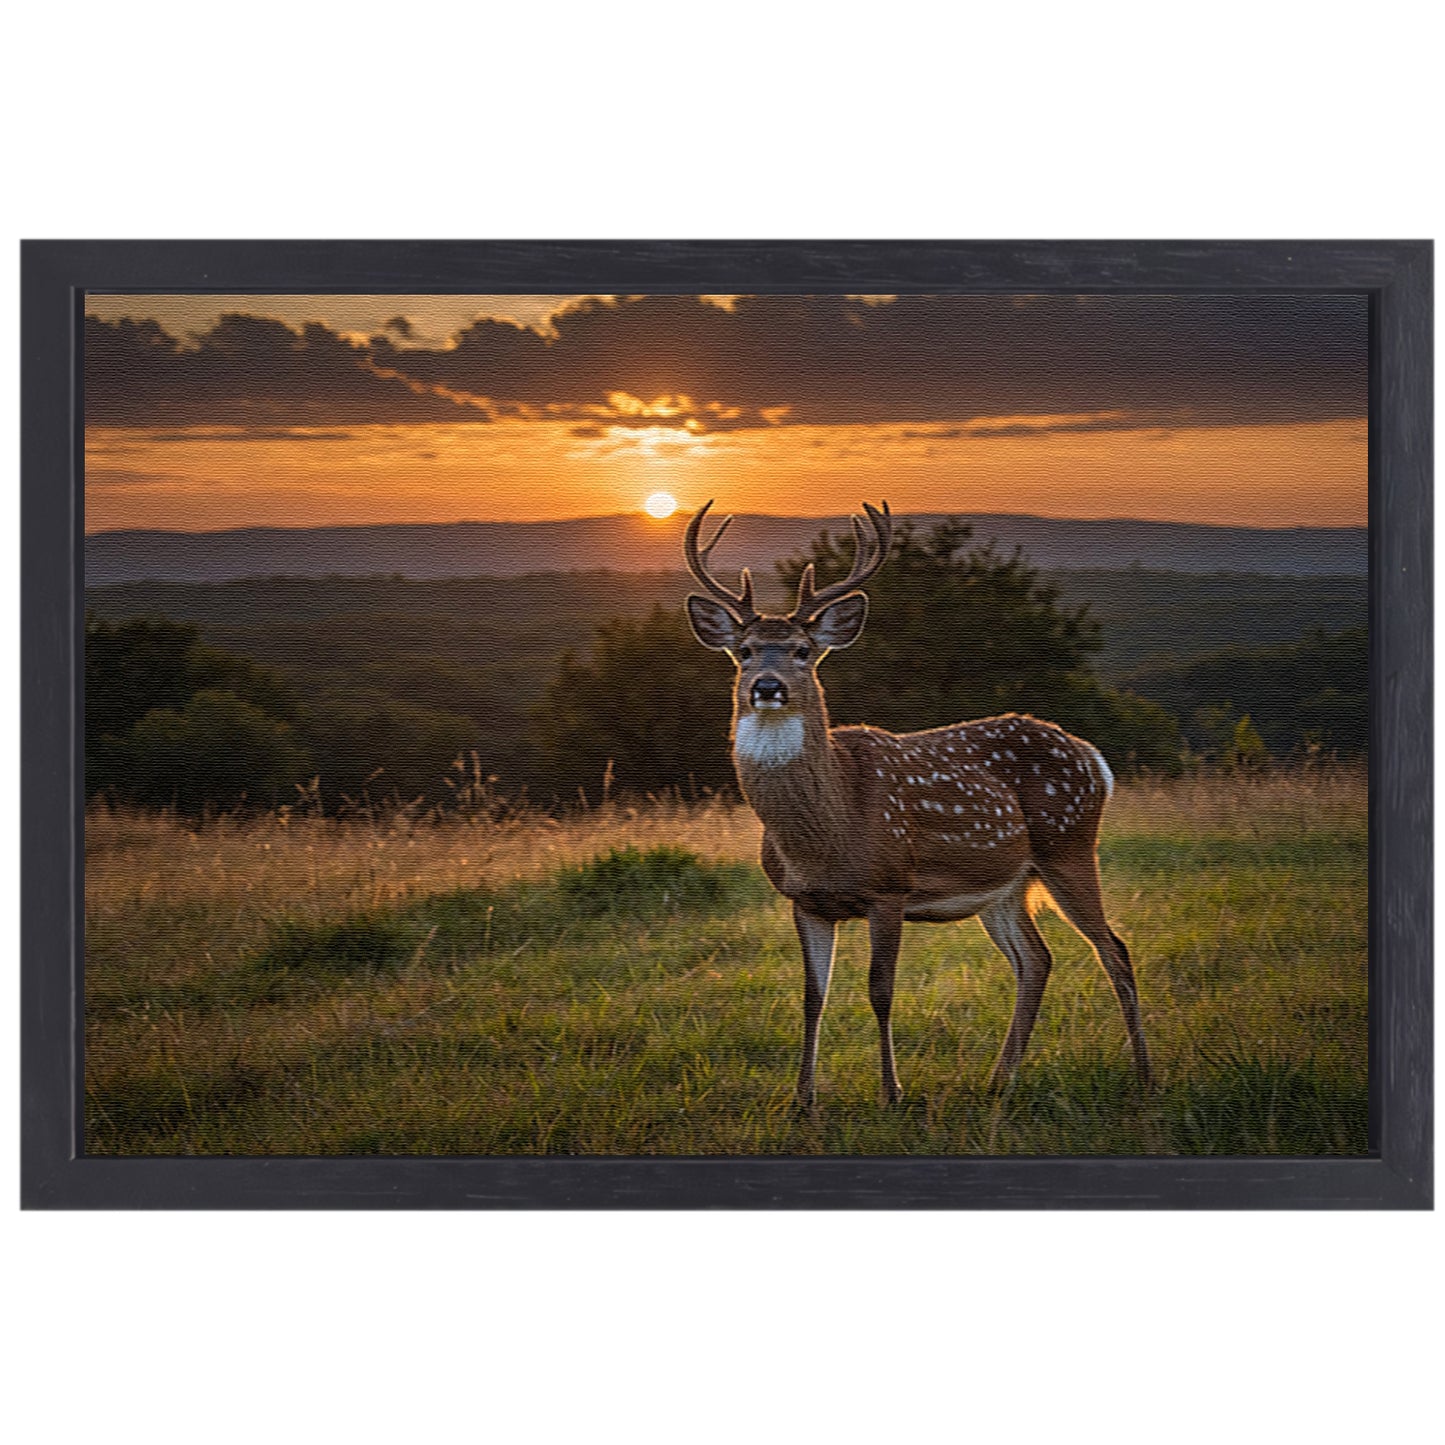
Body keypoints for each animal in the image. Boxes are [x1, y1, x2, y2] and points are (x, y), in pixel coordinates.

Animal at [679, 497, 1150, 1103]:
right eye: (743, 652)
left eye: (804, 651)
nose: (766, 686)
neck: (826, 833)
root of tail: (1094, 758)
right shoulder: (805, 900)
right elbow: (812, 998)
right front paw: (802, 1100)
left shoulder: (889, 886)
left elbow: (880, 991)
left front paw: (892, 1093)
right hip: (1006, 884)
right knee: (1036, 960)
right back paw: (998, 1081)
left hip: (1069, 845)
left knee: (1114, 949)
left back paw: (1144, 1077)